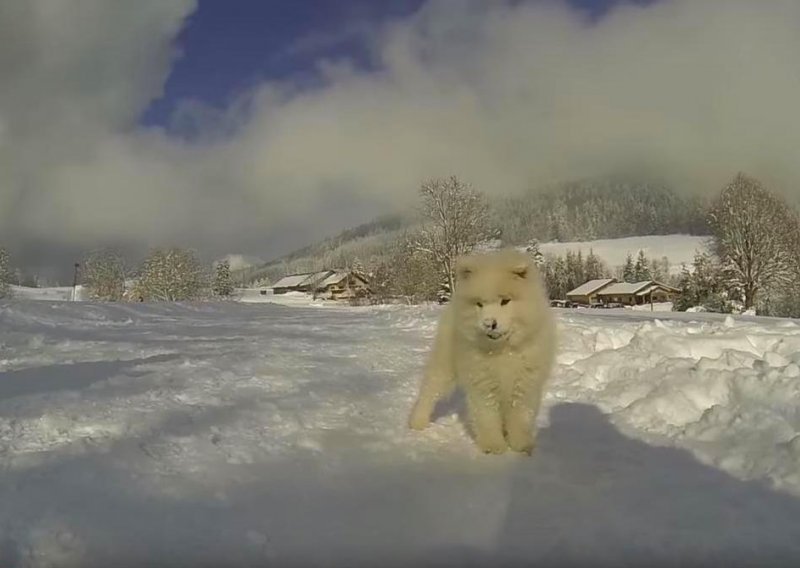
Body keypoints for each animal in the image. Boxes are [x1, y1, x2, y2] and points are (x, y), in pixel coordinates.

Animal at [410, 251, 552, 454]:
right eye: (479, 304)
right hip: (444, 365)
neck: (502, 351)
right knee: (429, 392)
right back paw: (418, 422)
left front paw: (521, 445)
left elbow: (520, 417)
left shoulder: (525, 384)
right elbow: (487, 417)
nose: (489, 323)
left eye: (505, 301)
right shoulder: (482, 383)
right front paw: (494, 446)